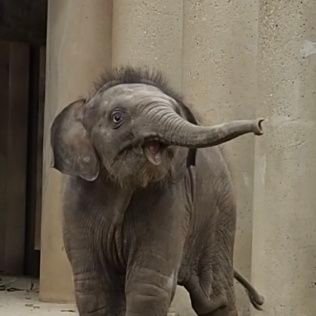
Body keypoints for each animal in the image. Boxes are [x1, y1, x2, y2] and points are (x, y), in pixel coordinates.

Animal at [51, 68, 264, 314]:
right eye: (117, 117)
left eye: (176, 111)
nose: (260, 123)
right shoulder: (76, 200)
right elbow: (94, 285)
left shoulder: (171, 197)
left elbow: (147, 283)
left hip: (221, 215)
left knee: (215, 297)